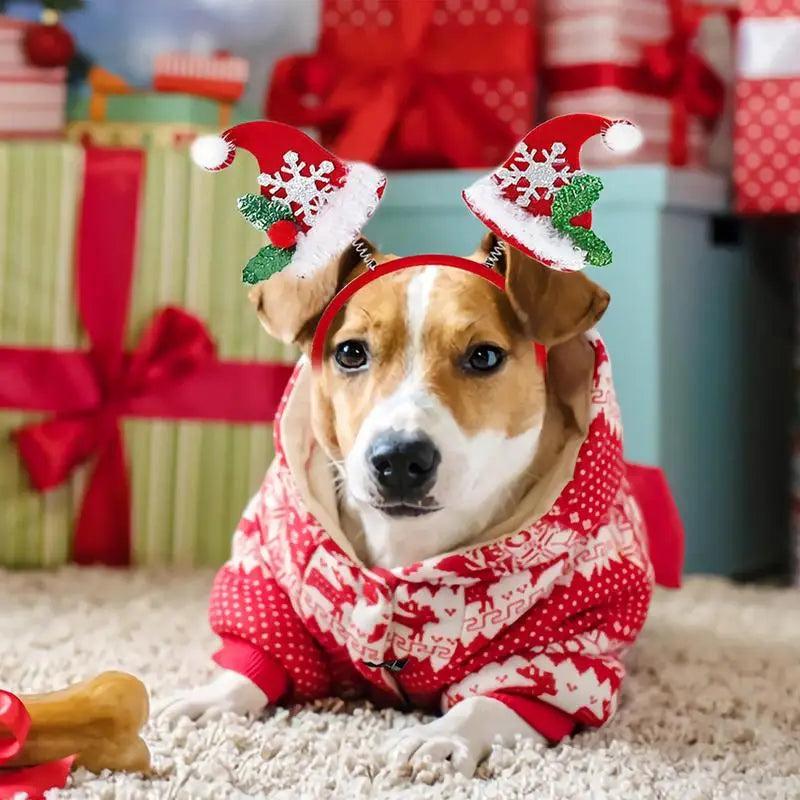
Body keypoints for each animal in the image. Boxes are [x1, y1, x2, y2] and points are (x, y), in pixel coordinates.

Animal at [159, 234, 652, 780]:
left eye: (484, 356)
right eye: (351, 352)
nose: (398, 458)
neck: (406, 546)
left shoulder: (562, 647)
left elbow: (489, 701)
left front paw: (442, 735)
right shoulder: (274, 570)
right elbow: (258, 652)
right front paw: (212, 698)